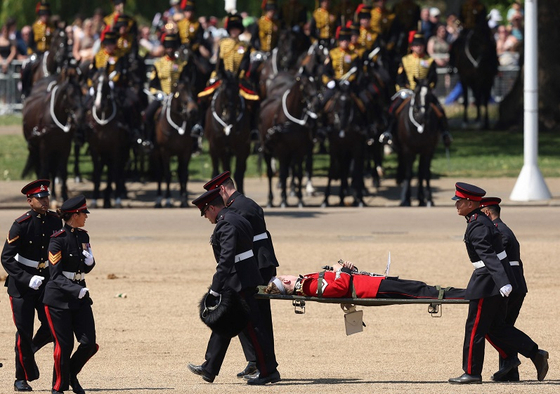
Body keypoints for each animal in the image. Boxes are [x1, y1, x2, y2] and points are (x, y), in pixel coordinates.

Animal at [22, 67, 84, 202]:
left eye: (81, 93)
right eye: (70, 95)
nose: (79, 117)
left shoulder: (64, 148)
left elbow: (62, 172)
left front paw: (64, 196)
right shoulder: (44, 148)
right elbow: (44, 172)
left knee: (54, 171)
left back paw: (54, 195)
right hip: (34, 147)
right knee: (41, 169)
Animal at [85, 67, 131, 209]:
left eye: (106, 84)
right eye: (94, 82)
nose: (99, 105)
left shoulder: (115, 149)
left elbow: (115, 172)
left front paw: (117, 199)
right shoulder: (95, 149)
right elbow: (97, 173)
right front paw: (94, 199)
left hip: (123, 150)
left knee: (115, 170)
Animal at [152, 81, 198, 209]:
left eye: (193, 91)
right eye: (179, 94)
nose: (193, 111)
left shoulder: (185, 152)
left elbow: (183, 174)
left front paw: (184, 200)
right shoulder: (165, 152)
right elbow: (167, 175)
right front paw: (168, 199)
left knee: (179, 172)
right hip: (156, 154)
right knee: (159, 174)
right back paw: (158, 200)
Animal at [322, 76, 370, 206]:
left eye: (349, 102)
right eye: (336, 101)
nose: (341, 126)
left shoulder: (357, 146)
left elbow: (357, 171)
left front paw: (360, 199)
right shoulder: (334, 146)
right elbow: (331, 170)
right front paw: (325, 200)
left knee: (352, 168)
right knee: (343, 168)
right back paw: (342, 197)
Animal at [394, 77, 442, 206]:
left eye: (429, 95)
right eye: (416, 93)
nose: (422, 115)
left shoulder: (428, 150)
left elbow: (425, 173)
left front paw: (429, 198)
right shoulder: (407, 150)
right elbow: (409, 173)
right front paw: (406, 199)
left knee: (420, 173)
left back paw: (421, 199)